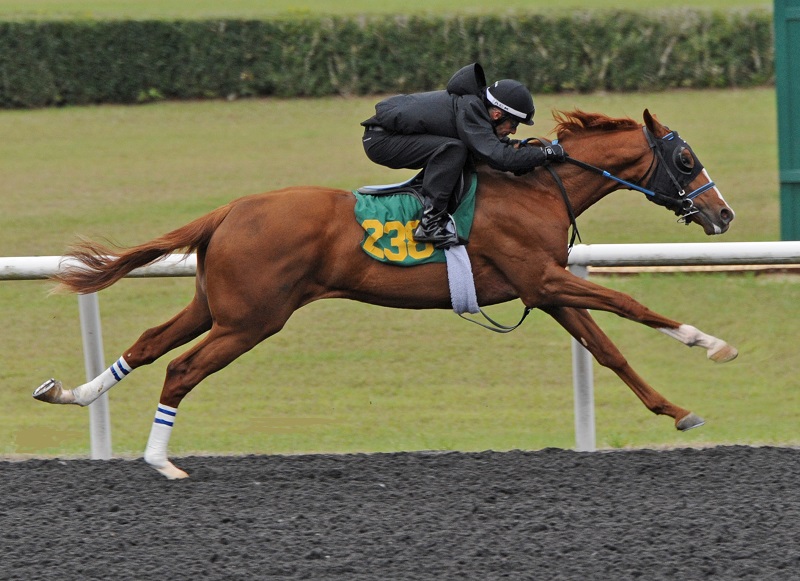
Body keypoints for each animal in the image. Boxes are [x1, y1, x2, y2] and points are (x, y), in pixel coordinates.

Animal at [32, 110, 736, 480]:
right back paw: (161, 462)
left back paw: (72, 394)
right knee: (181, 367)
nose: (723, 215)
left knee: (151, 342)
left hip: (217, 305)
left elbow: (608, 350)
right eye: (685, 159)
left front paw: (678, 411)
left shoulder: (545, 289)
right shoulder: (542, 279)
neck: (537, 188)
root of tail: (229, 210)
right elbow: (633, 308)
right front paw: (711, 343)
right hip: (253, 319)